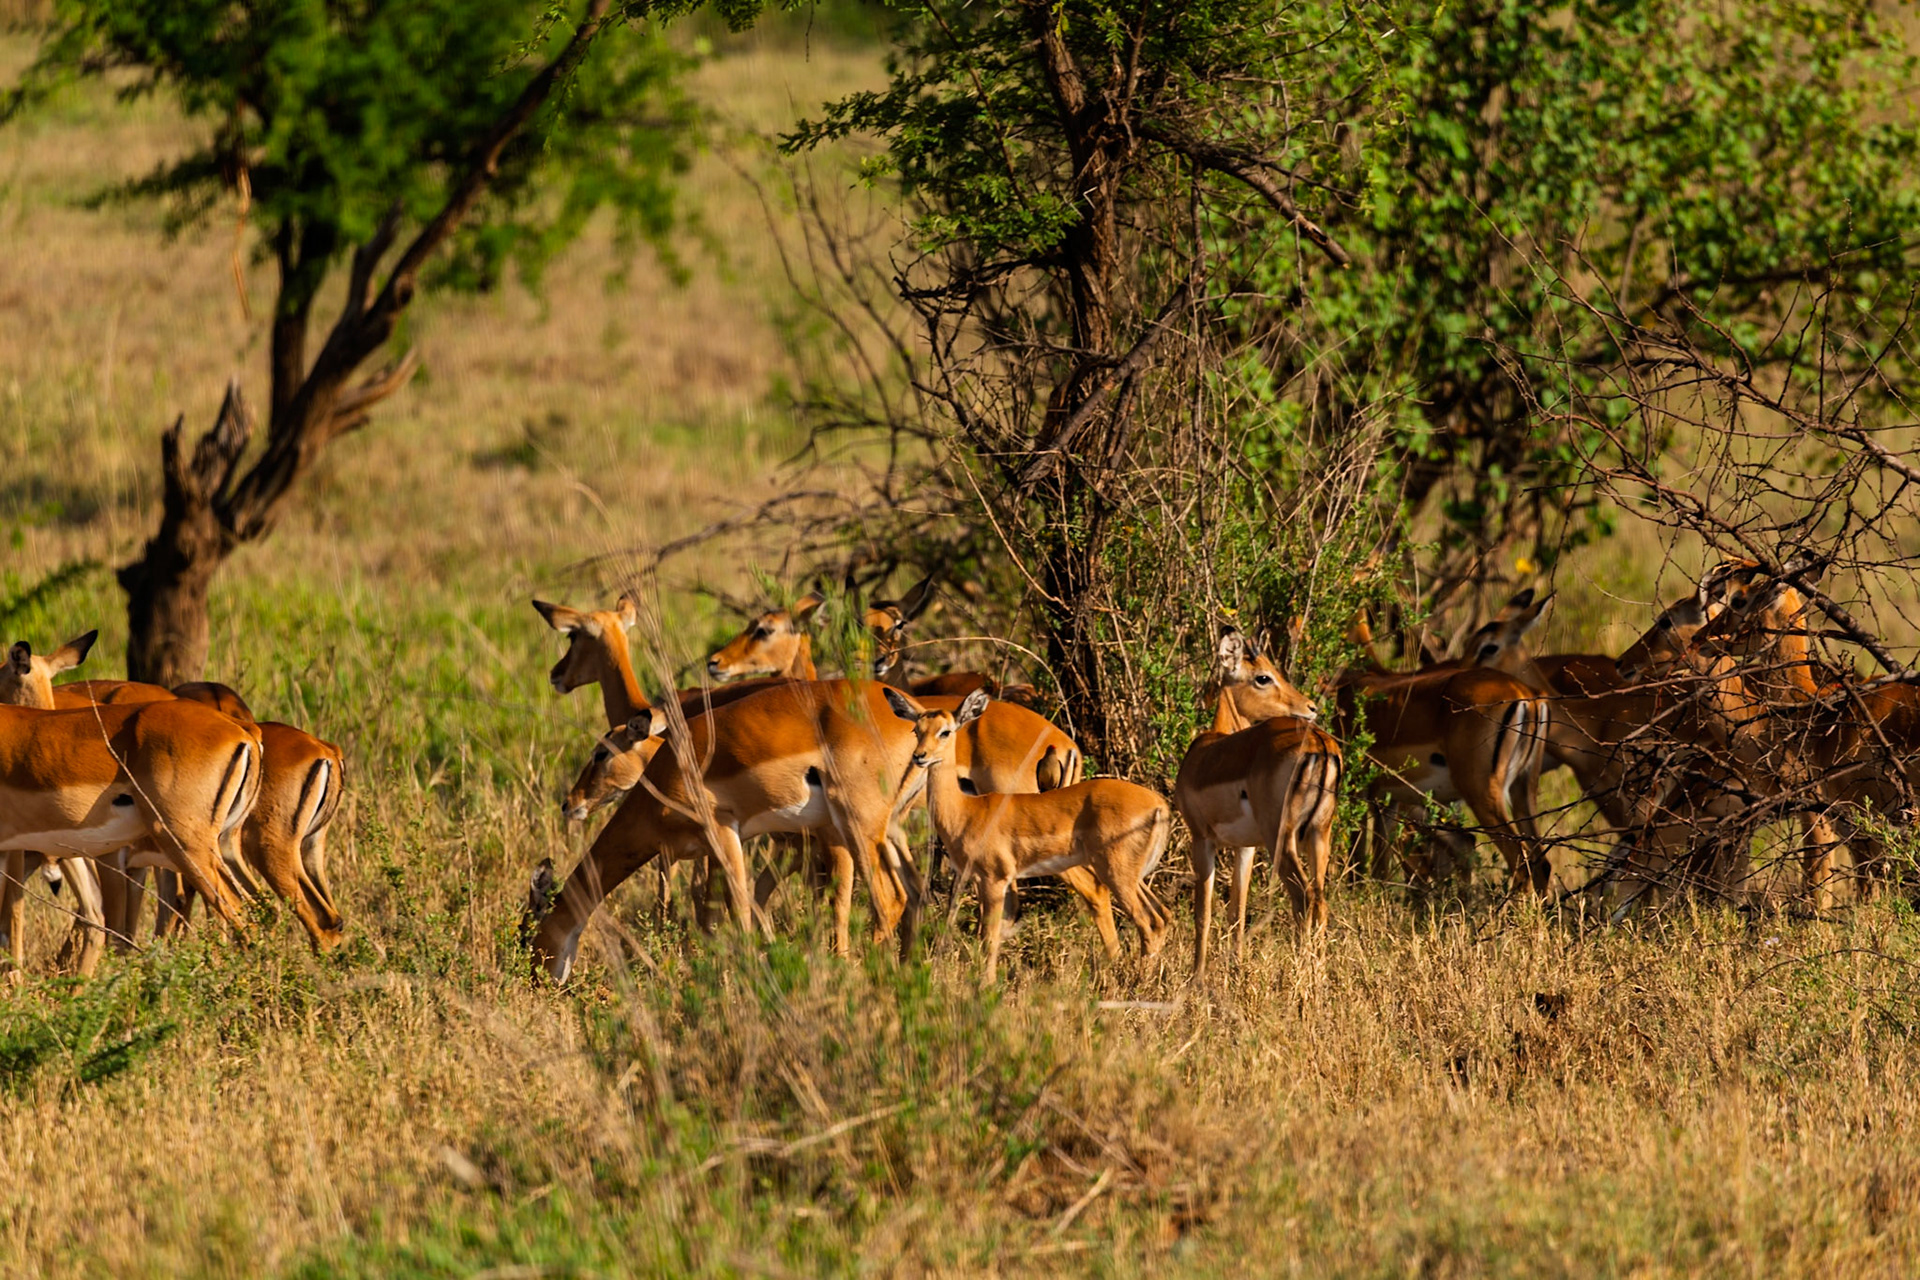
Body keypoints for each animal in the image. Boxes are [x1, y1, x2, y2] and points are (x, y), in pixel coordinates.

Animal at [884, 687, 1170, 985]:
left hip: (1116, 875)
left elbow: (989, 938)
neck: (967, 811)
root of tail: (1159, 805)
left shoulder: (995, 880)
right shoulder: (979, 879)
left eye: (945, 731)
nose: (920, 756)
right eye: (917, 729)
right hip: (1131, 877)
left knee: (1148, 922)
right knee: (1162, 916)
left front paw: (986, 985)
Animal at [1175, 631, 1340, 973]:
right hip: (1319, 834)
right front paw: (1236, 970)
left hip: (1282, 838)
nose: (1310, 707)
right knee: (1320, 899)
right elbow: (1237, 913)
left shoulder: (1201, 838)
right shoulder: (1246, 847)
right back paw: (1318, 975)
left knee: (1303, 896)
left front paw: (1197, 978)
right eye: (1264, 676)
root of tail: (1320, 742)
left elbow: (1203, 914)